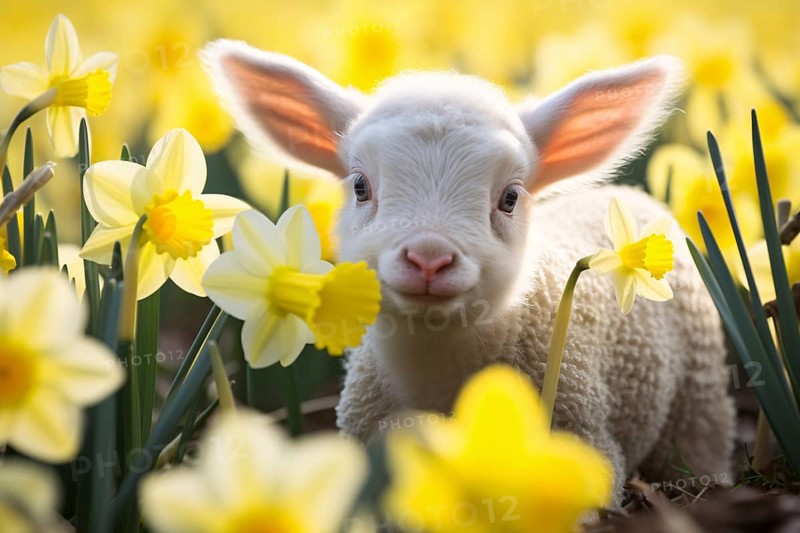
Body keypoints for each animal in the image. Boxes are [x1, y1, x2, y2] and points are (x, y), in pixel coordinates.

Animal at [201, 40, 735, 502]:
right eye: (360, 186)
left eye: (510, 197)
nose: (429, 258)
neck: (438, 364)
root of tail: (628, 192)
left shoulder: (583, 439)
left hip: (700, 392)